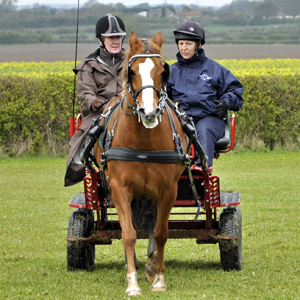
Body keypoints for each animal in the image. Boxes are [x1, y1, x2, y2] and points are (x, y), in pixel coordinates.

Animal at [95, 31, 189, 296]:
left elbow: (160, 232)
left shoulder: (168, 189)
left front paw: (158, 278)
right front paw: (132, 282)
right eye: (132, 72)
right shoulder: (119, 188)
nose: (149, 112)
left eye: (162, 71)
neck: (144, 142)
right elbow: (128, 233)